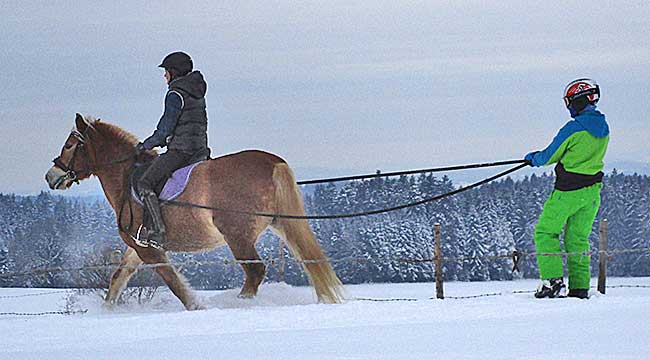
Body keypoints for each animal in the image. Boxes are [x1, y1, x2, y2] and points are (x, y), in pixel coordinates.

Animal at [45, 113, 344, 310]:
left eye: (70, 145)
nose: (51, 176)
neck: (127, 176)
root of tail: (272, 162)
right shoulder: (137, 247)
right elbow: (118, 279)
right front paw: (107, 311)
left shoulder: (149, 250)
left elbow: (175, 284)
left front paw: (196, 308)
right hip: (282, 224)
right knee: (309, 260)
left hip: (238, 236)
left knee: (255, 271)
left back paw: (238, 305)